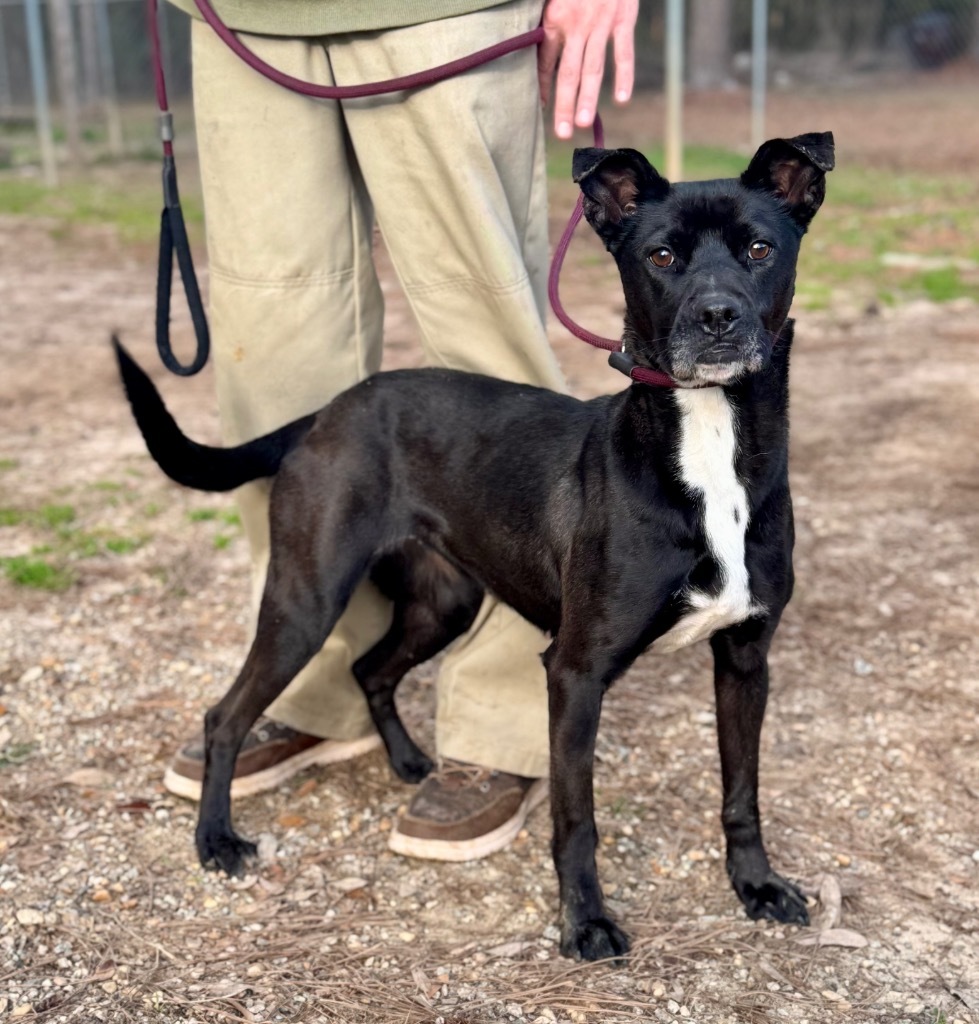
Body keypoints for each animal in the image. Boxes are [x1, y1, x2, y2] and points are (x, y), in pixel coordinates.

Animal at [114, 128, 835, 958]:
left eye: (758, 248)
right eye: (660, 255)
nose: (717, 316)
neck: (708, 446)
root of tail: (328, 412)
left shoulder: (746, 658)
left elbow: (741, 792)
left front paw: (756, 886)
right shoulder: (575, 672)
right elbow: (575, 817)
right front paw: (585, 922)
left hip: (443, 602)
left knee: (367, 668)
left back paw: (405, 763)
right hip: (306, 600)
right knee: (225, 715)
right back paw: (216, 839)